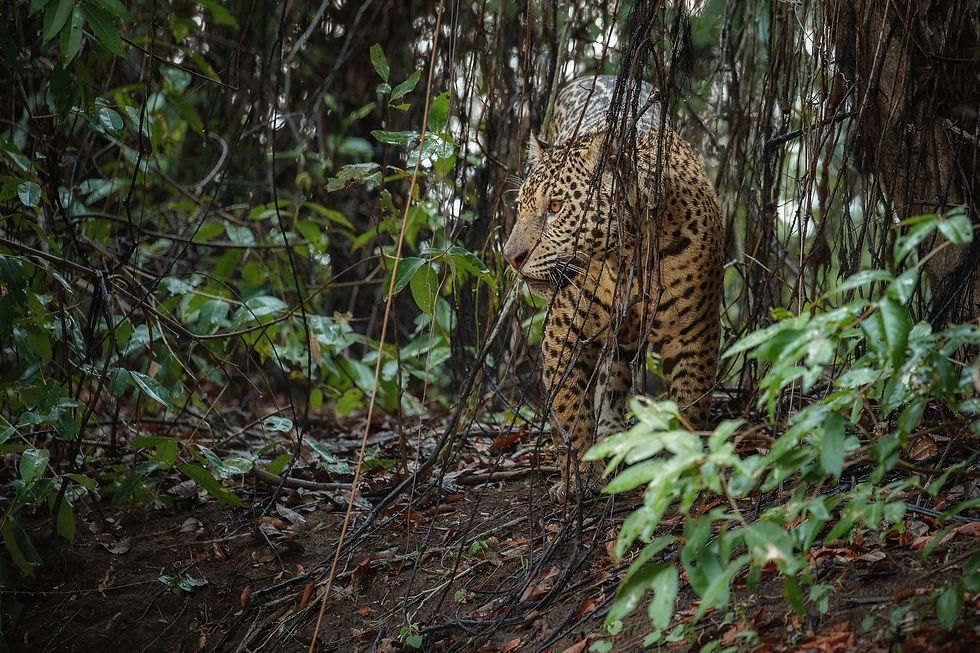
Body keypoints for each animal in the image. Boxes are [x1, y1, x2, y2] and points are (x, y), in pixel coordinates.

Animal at [502, 75, 724, 500]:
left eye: (555, 207)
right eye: (520, 208)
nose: (511, 257)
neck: (631, 256)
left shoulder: (694, 331)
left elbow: (690, 401)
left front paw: (685, 463)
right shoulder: (563, 331)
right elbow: (568, 409)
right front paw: (578, 476)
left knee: (613, 378)